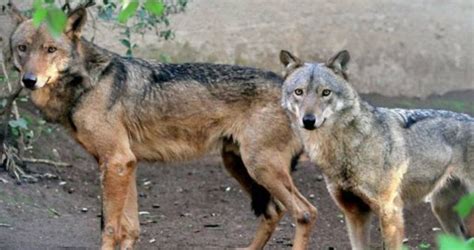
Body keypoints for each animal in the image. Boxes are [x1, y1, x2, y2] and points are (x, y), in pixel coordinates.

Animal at [3, 4, 318, 250]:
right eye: (22, 48)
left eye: (50, 49)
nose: (29, 80)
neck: (88, 83)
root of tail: (292, 87)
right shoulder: (126, 164)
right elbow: (130, 228)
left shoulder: (116, 162)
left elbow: (110, 227)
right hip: (239, 166)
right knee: (273, 212)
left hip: (260, 168)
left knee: (305, 213)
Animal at [280, 49, 472, 249]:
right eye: (299, 92)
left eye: (326, 93)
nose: (308, 120)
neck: (347, 147)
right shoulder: (355, 213)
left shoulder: (390, 212)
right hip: (441, 210)